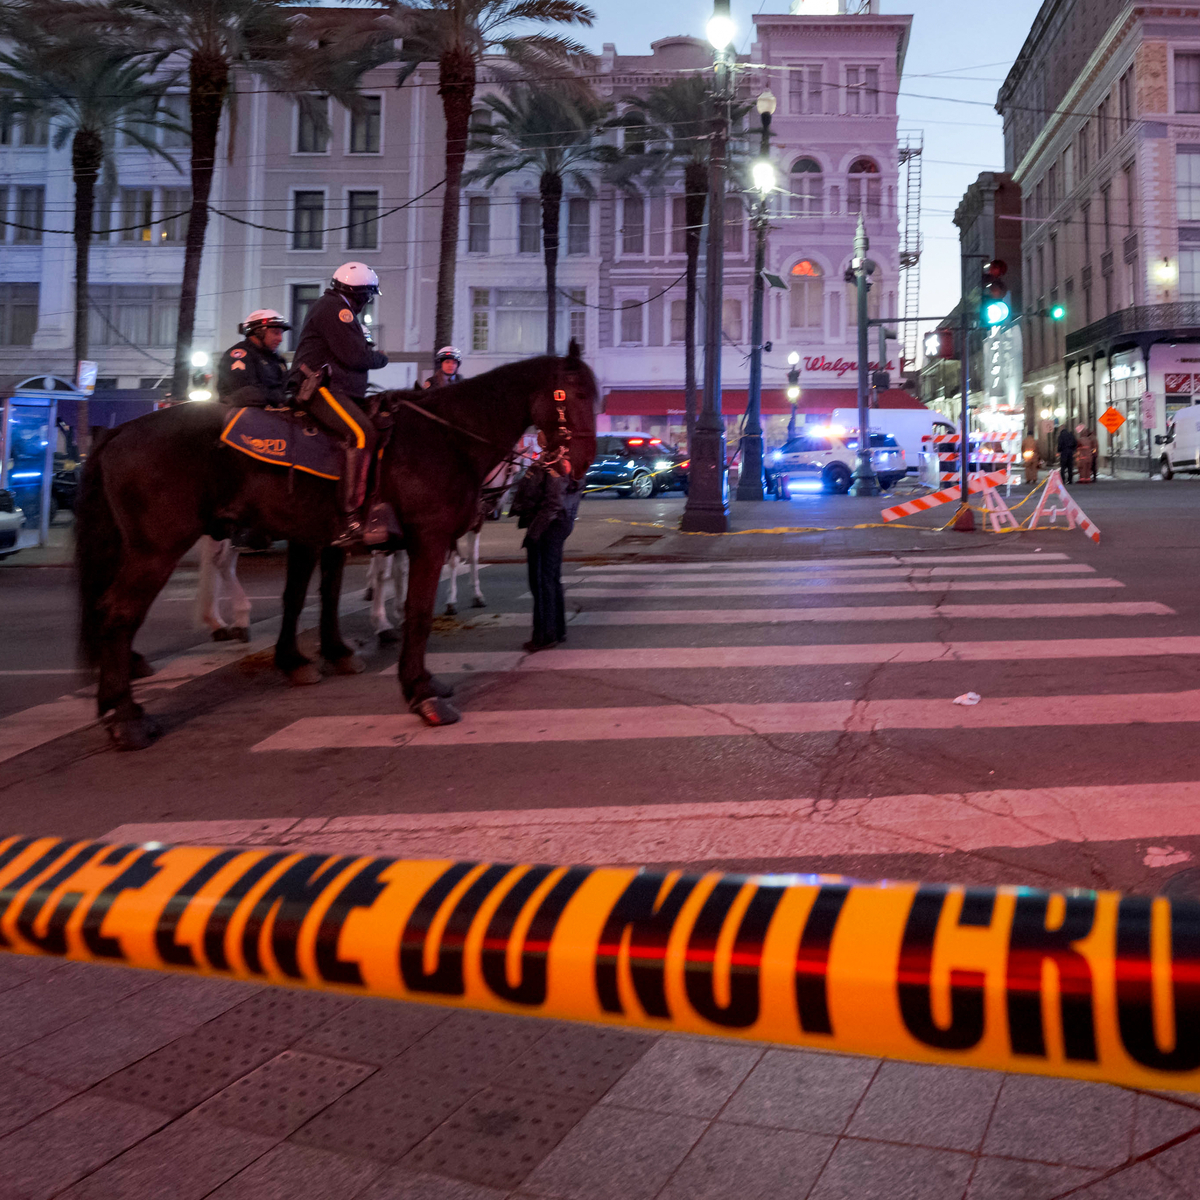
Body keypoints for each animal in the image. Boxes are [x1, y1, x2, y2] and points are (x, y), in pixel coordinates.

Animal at [75, 343, 595, 744]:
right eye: (568, 394)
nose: (581, 465)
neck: (445, 437)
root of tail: (120, 430)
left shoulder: (334, 538)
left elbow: (318, 595)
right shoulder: (425, 538)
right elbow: (416, 612)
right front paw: (420, 691)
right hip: (155, 548)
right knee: (121, 614)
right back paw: (128, 717)